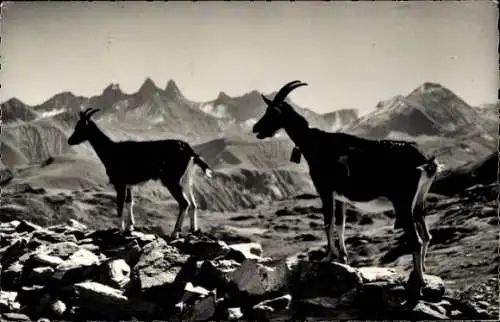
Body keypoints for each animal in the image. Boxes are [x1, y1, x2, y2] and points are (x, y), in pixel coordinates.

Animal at [68, 108, 213, 236]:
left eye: (80, 127)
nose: (69, 141)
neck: (111, 150)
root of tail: (189, 150)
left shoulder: (120, 183)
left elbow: (120, 205)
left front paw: (121, 229)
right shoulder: (129, 184)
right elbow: (129, 202)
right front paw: (130, 226)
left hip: (172, 180)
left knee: (184, 203)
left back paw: (175, 232)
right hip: (185, 179)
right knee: (193, 204)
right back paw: (193, 229)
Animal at [252, 79, 444, 304]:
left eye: (272, 112)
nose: (255, 128)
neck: (314, 143)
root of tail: (426, 162)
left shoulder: (325, 189)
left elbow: (328, 222)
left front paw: (328, 256)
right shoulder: (341, 196)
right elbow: (341, 223)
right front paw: (343, 256)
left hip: (402, 201)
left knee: (416, 240)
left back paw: (418, 286)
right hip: (419, 201)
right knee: (427, 235)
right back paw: (421, 273)